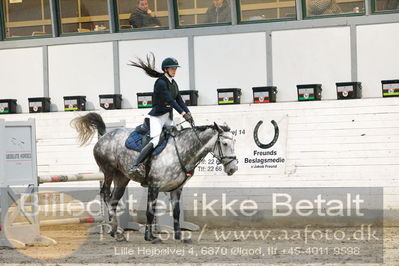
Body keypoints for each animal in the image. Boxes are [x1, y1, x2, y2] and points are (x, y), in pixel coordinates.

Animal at [72, 112, 239, 243]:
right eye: (224, 143)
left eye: (234, 142)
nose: (233, 168)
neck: (181, 150)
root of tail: (105, 136)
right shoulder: (154, 186)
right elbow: (150, 211)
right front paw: (150, 237)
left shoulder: (177, 188)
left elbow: (176, 212)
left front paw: (179, 236)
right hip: (108, 171)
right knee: (106, 195)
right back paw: (116, 231)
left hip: (122, 178)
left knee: (114, 200)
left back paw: (117, 233)